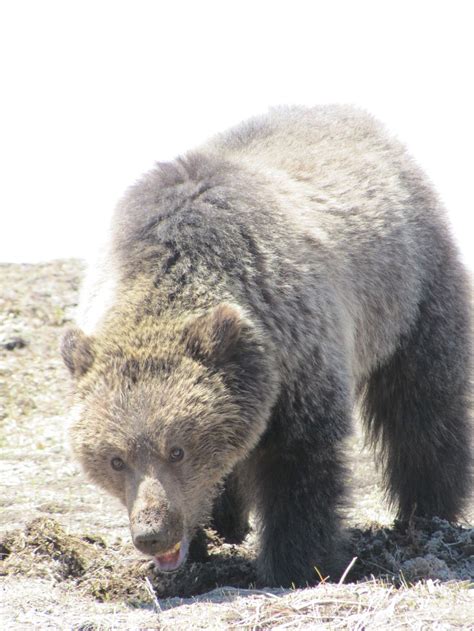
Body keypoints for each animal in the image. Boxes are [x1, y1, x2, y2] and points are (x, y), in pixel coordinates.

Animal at [61, 107, 472, 588]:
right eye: (115, 458)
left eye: (176, 449)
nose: (151, 533)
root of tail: (358, 118)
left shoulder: (298, 351)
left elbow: (298, 463)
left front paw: (298, 563)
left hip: (410, 290)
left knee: (422, 403)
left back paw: (428, 513)